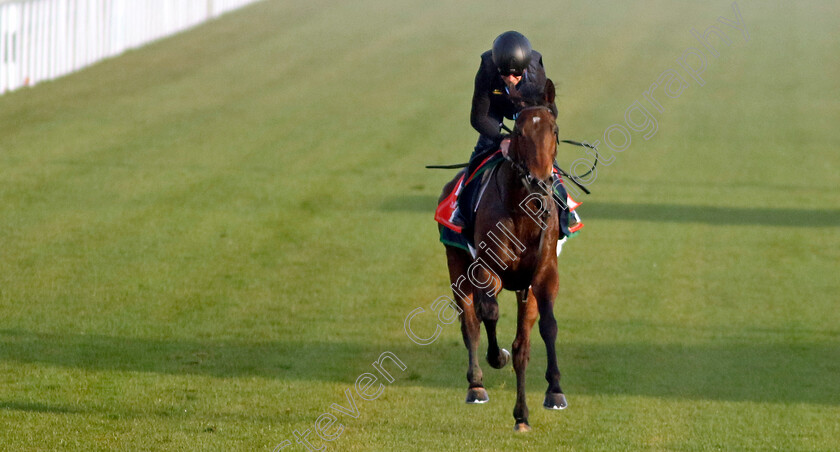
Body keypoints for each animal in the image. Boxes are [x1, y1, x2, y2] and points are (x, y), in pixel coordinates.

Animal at [436, 79, 568, 432]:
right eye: (519, 131)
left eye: (553, 129)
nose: (539, 183)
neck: (524, 211)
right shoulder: (487, 269)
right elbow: (489, 313)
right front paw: (497, 357)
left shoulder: (543, 274)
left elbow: (546, 328)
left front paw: (553, 392)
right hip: (458, 267)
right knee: (470, 321)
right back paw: (476, 385)